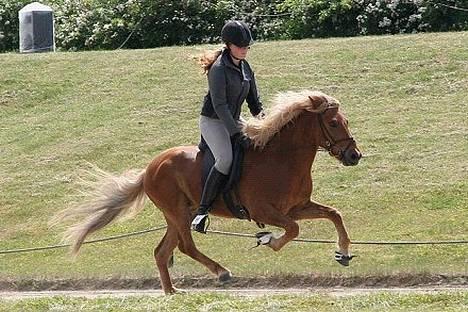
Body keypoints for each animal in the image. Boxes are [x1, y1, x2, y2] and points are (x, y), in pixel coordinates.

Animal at [54, 89, 362, 294]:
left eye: (346, 121)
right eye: (334, 123)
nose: (354, 156)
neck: (281, 157)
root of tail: (148, 169)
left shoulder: (297, 207)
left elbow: (333, 214)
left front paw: (343, 253)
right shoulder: (264, 211)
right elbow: (293, 230)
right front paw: (268, 240)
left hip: (176, 215)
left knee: (162, 251)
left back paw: (172, 292)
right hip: (178, 213)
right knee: (185, 246)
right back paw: (222, 273)